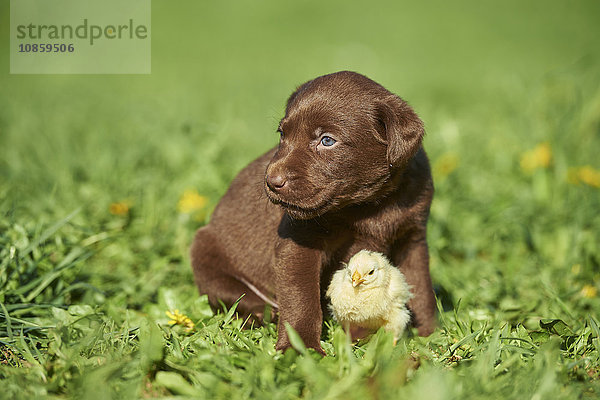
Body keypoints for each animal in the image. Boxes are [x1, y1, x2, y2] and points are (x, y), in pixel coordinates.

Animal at [192, 71, 436, 354]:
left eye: (327, 140)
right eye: (282, 134)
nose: (271, 181)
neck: (371, 204)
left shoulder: (413, 238)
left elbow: (421, 287)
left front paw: (429, 336)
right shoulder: (298, 244)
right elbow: (301, 299)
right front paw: (300, 348)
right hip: (204, 251)